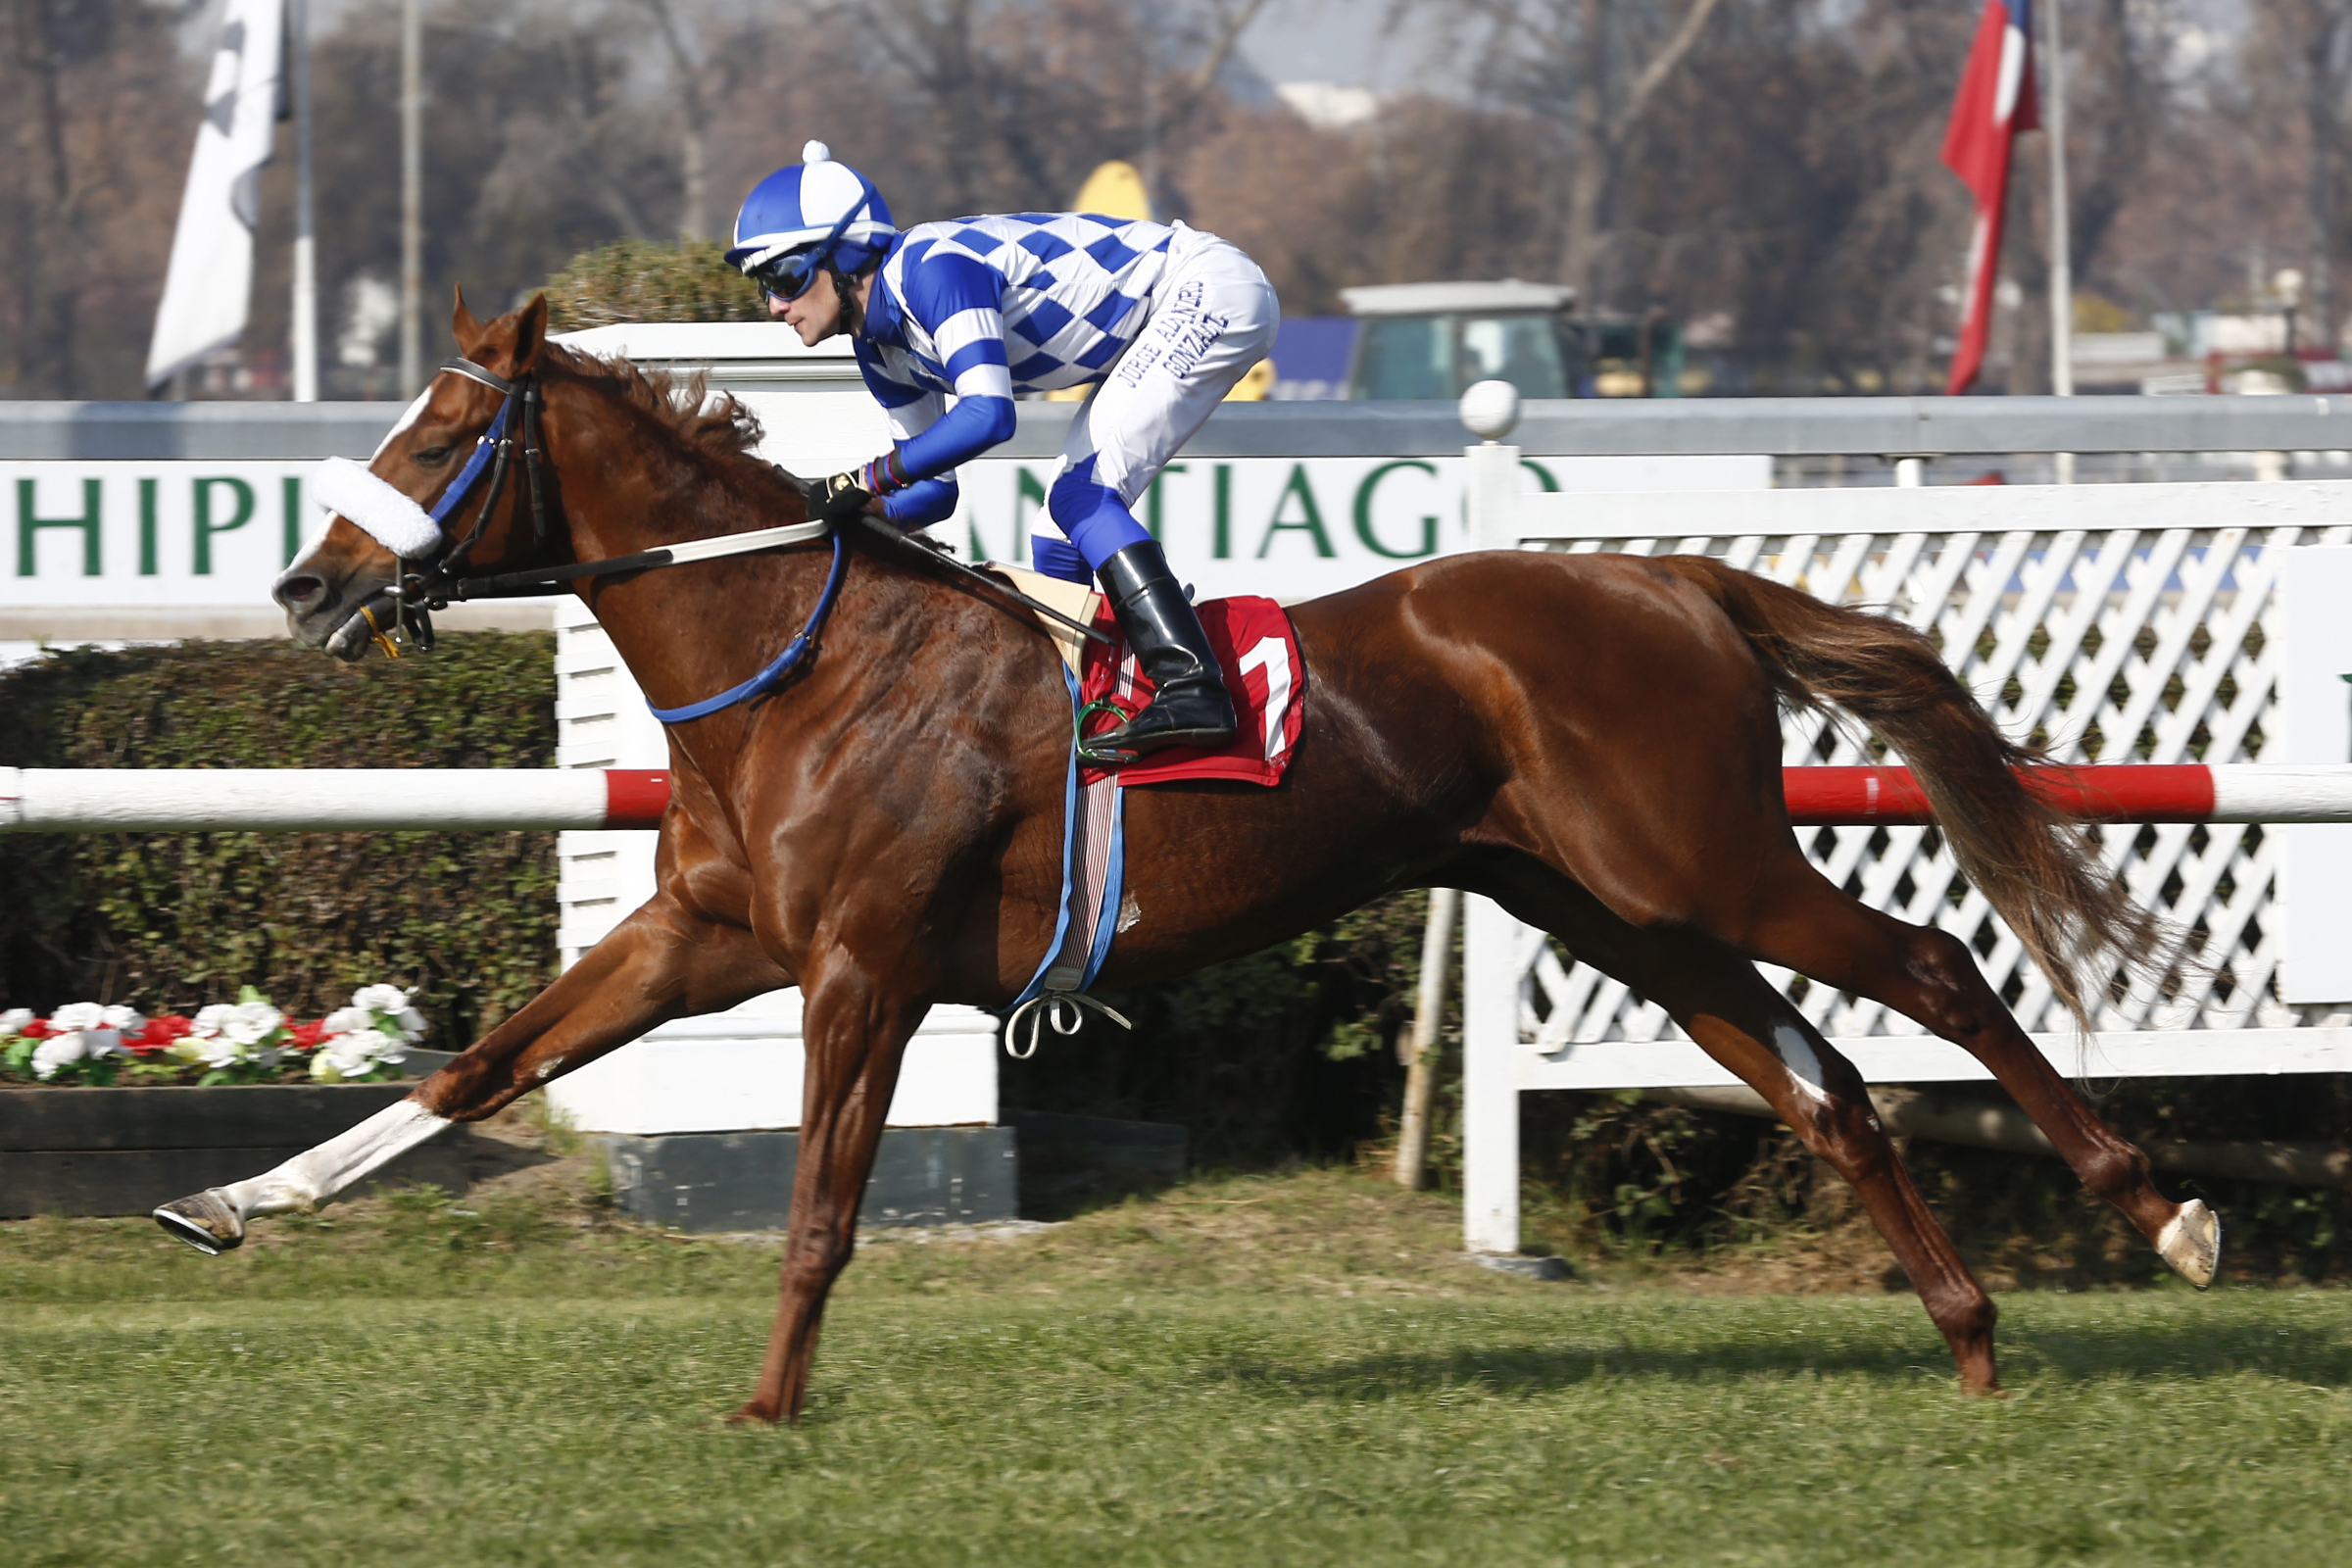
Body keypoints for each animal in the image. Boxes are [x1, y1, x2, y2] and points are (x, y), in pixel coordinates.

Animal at [156, 294, 2218, 1423]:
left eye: (440, 423)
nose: (306, 588)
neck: (801, 658)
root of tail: (1675, 580)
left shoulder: (863, 968)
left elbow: (821, 1209)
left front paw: (766, 1403)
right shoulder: (701, 939)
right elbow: (477, 1067)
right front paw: (229, 1204)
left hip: (1702, 868)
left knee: (1935, 971)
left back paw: (2160, 1209)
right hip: (1619, 909)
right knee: (1828, 1087)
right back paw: (1970, 1339)